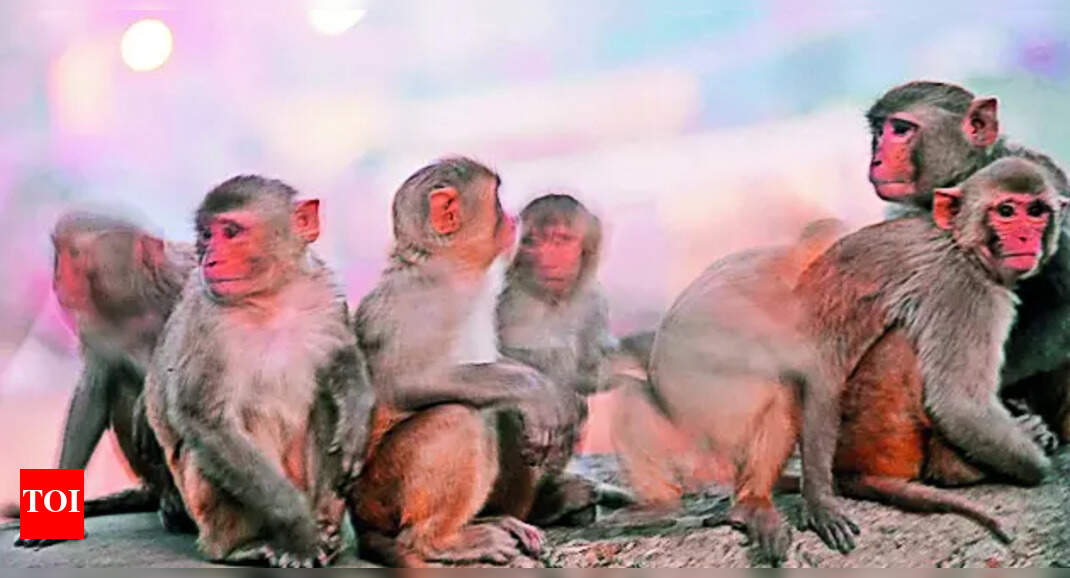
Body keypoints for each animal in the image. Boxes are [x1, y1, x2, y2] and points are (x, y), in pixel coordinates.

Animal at [5, 212, 196, 549]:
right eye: (60, 253)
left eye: (75, 254)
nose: (57, 279)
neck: (139, 304)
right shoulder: (94, 324)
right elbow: (92, 395)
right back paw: (169, 501)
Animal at [143, 176, 373, 567]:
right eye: (207, 234)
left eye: (231, 232)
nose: (210, 258)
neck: (271, 298)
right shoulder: (207, 326)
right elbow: (207, 420)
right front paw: (300, 533)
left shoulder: (324, 292)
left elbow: (341, 356)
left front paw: (356, 423)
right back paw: (243, 547)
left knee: (325, 401)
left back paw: (328, 529)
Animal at [350, 157, 580, 567]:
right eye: (498, 200)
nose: (513, 218)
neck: (450, 271)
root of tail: (360, 522)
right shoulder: (414, 304)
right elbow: (403, 384)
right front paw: (535, 389)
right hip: (378, 495)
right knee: (460, 417)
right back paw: (439, 541)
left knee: (503, 414)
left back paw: (495, 519)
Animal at [494, 193, 636, 527]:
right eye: (533, 241)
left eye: (560, 239)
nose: (546, 258)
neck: (551, 300)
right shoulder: (506, 300)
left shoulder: (594, 301)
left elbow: (586, 371)